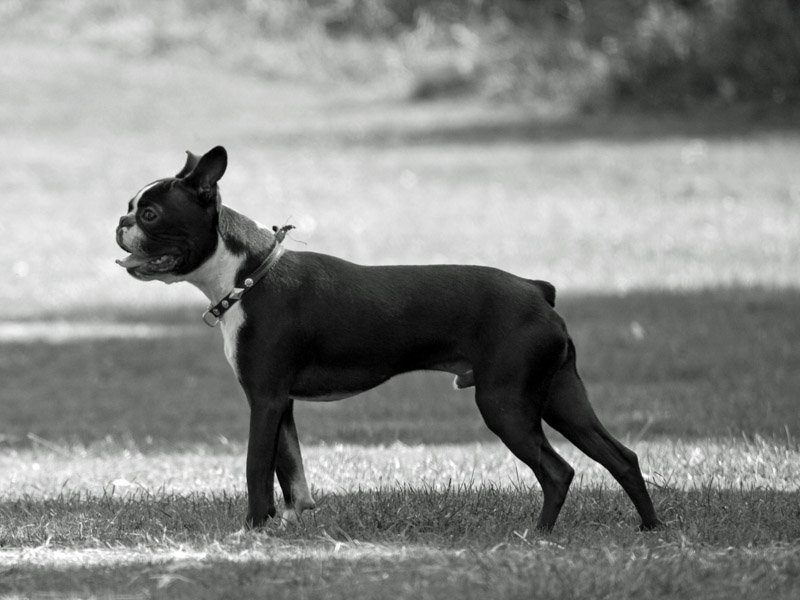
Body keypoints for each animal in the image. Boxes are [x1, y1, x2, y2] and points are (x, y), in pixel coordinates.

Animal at [114, 148, 664, 532]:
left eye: (150, 215)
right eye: (131, 208)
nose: (119, 221)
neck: (248, 274)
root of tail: (537, 290)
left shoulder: (265, 400)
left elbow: (256, 470)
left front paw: (251, 529)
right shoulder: (281, 404)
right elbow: (292, 471)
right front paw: (291, 524)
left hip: (505, 402)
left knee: (557, 471)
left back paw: (539, 535)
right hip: (560, 397)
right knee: (621, 457)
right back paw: (651, 527)